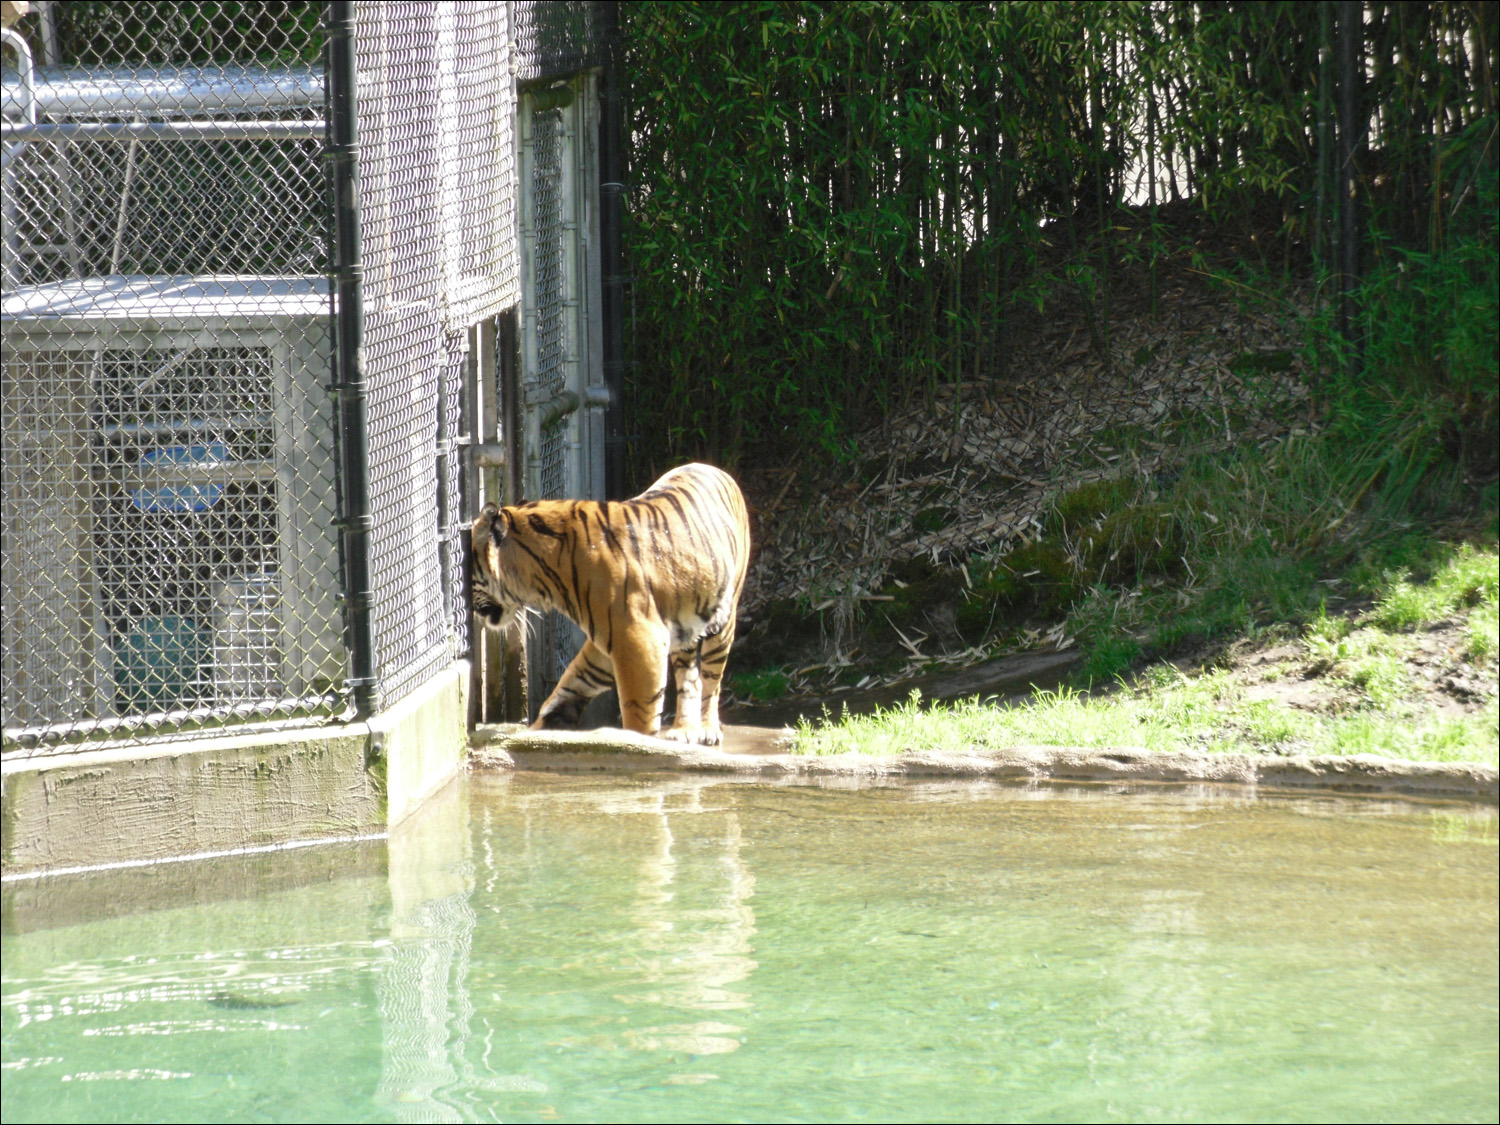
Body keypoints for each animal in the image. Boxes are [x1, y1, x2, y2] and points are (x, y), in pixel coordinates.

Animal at [468, 462, 750, 744]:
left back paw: (707, 729)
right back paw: (683, 731)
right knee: (690, 678)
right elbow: (572, 682)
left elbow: (638, 713)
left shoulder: (637, 638)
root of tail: (713, 468)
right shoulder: (608, 637)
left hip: (723, 620)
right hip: (685, 629)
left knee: (711, 678)